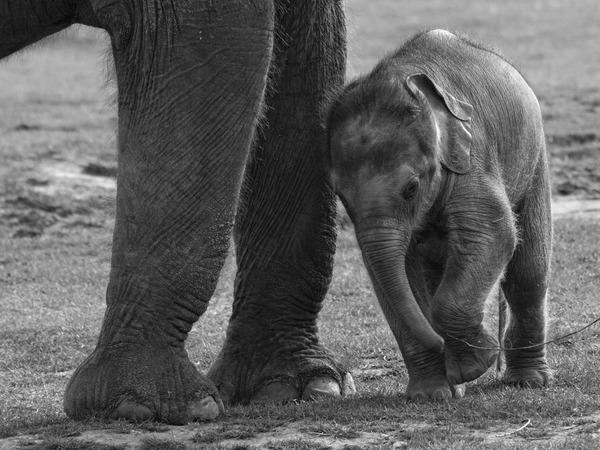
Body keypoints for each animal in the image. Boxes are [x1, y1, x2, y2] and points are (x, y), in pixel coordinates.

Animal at [328, 29, 552, 400]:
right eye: (341, 197)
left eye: (412, 189)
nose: (441, 344)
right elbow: (392, 273)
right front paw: (431, 394)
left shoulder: (472, 155)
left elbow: (492, 232)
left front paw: (472, 366)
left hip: (534, 159)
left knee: (527, 273)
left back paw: (527, 381)